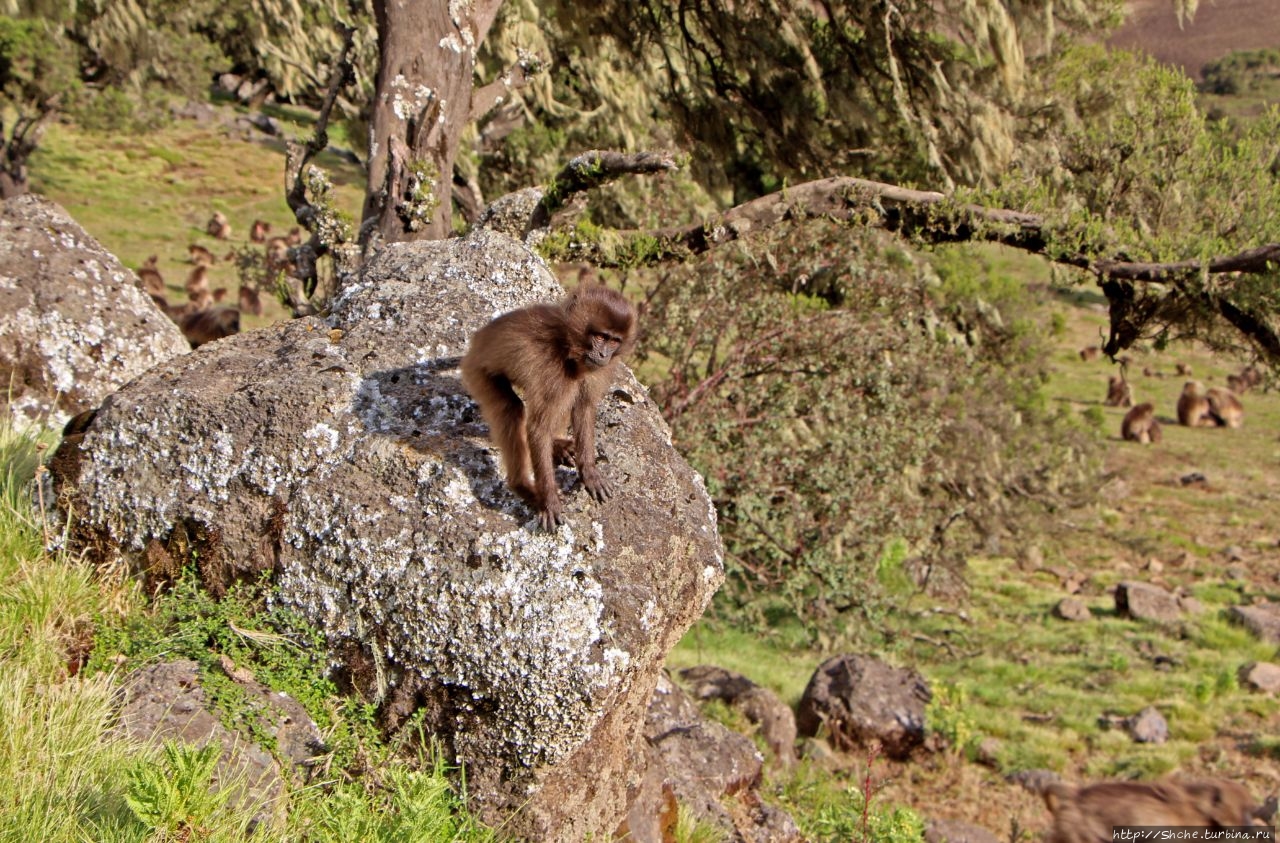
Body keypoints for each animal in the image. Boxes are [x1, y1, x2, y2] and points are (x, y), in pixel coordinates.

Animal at [463, 286, 637, 532]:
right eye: (601, 337)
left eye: (614, 341)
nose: (604, 355)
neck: (567, 345)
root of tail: (477, 339)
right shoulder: (553, 370)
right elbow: (537, 428)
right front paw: (549, 501)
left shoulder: (594, 369)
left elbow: (583, 408)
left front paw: (589, 471)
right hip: (477, 372)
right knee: (511, 409)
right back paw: (521, 486)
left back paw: (557, 445)